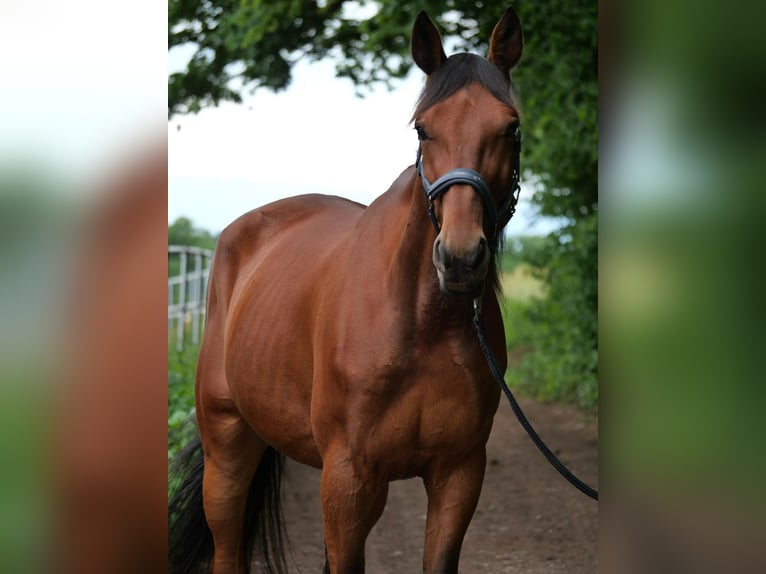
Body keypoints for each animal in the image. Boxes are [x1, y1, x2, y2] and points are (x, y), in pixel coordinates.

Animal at [170, 7, 524, 573]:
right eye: (423, 129)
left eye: (510, 127)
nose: (460, 259)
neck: (421, 324)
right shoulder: (349, 481)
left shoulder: (459, 474)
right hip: (226, 448)